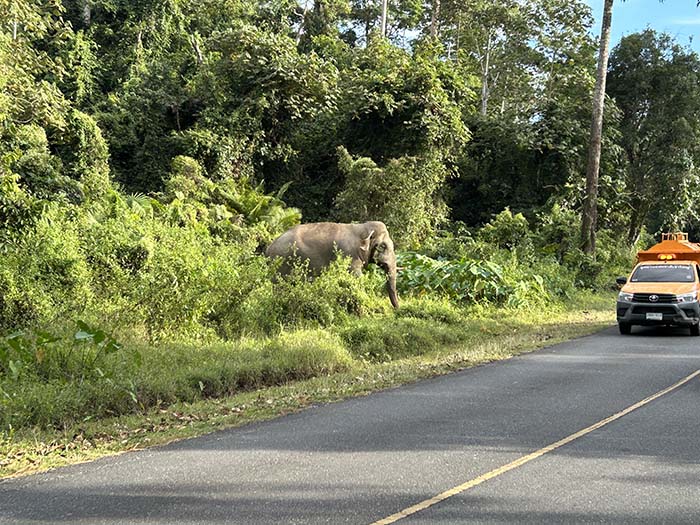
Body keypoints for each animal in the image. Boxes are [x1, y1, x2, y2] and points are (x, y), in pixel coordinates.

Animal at [265, 221, 399, 308]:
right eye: (383, 246)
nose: (397, 310)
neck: (362, 227)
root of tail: (269, 247)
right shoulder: (349, 256)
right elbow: (356, 278)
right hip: (281, 263)